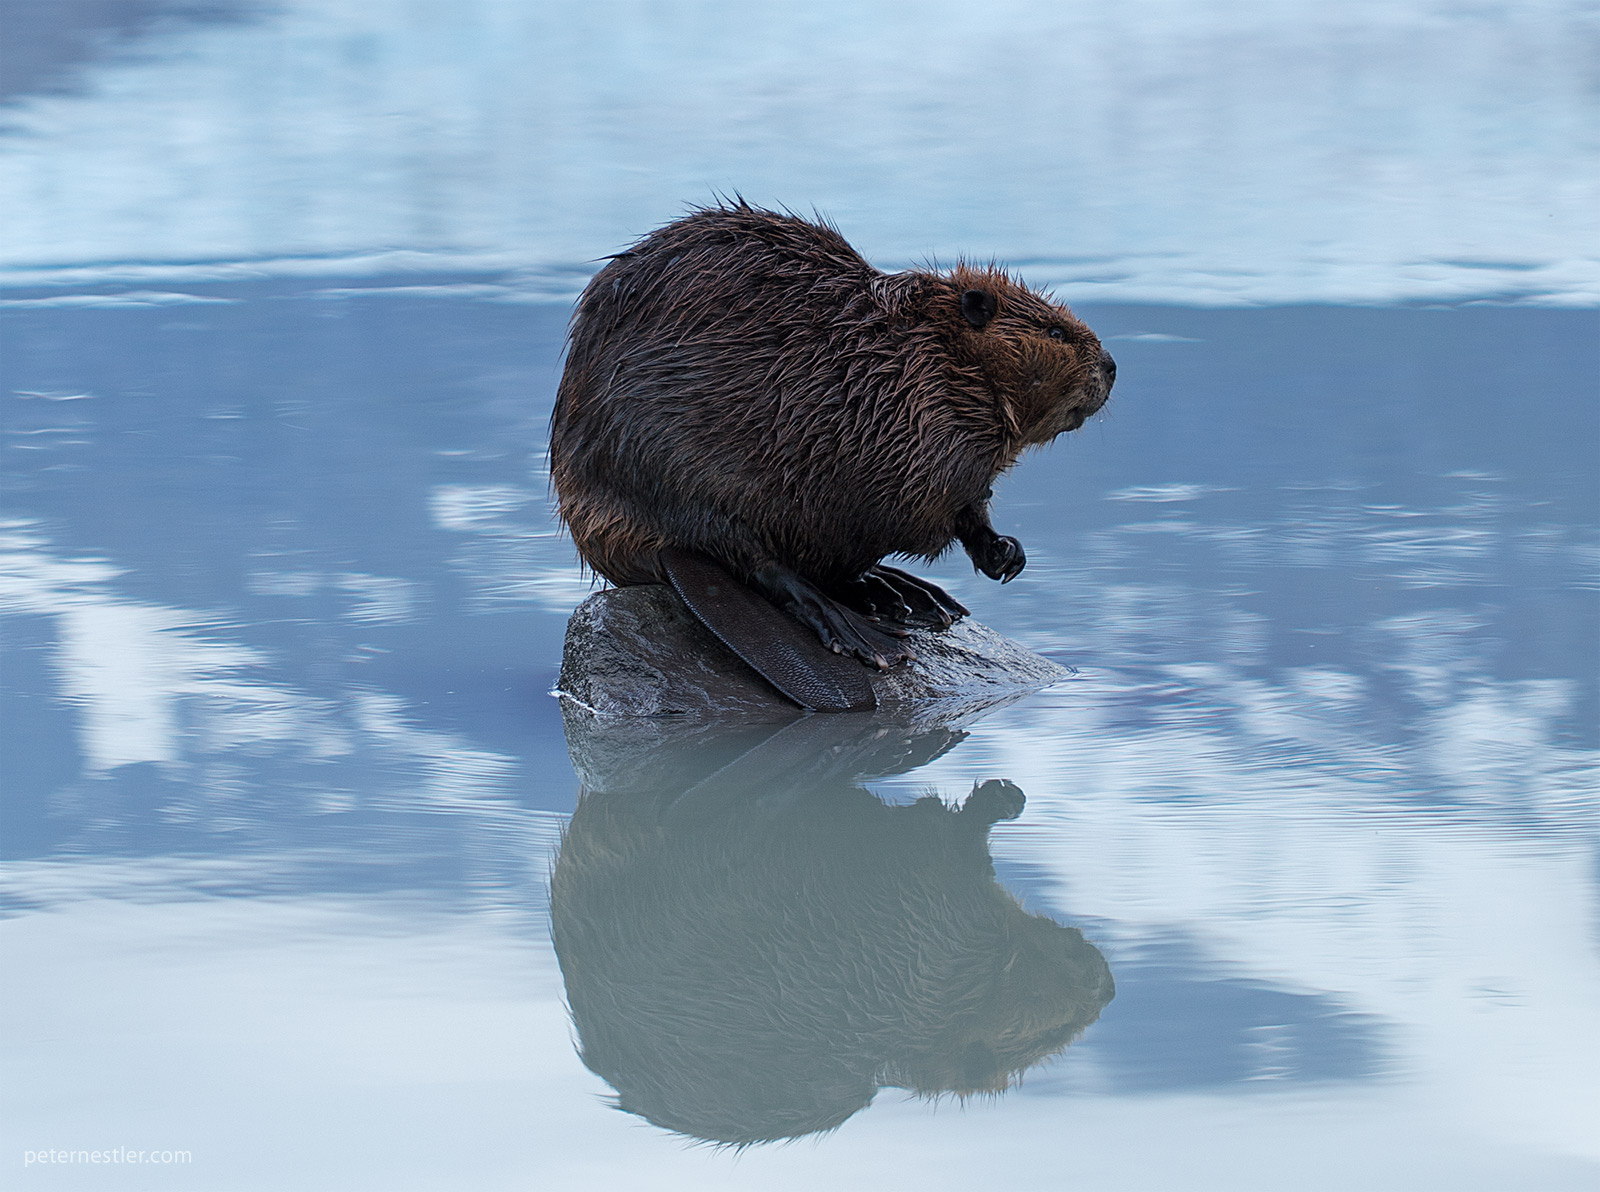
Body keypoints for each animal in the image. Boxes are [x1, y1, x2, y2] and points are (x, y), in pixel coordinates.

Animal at [550, 203, 1113, 684]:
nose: (1110, 366)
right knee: (757, 562)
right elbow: (931, 500)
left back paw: (907, 596)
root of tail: (661, 554)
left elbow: (971, 507)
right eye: (1055, 331)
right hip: (679, 475)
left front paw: (1005, 554)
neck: (926, 353)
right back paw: (867, 632)